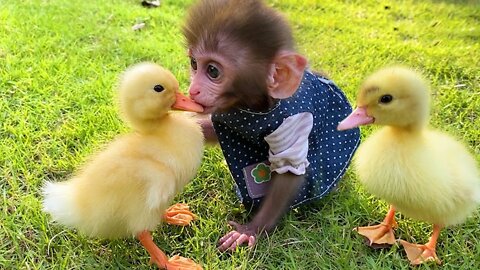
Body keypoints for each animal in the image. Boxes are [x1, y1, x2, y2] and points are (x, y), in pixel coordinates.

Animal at [184, 0, 360, 252]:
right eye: (194, 64)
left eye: (213, 71)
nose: (193, 90)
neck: (254, 106)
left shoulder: (294, 121)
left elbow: (289, 169)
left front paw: (250, 230)